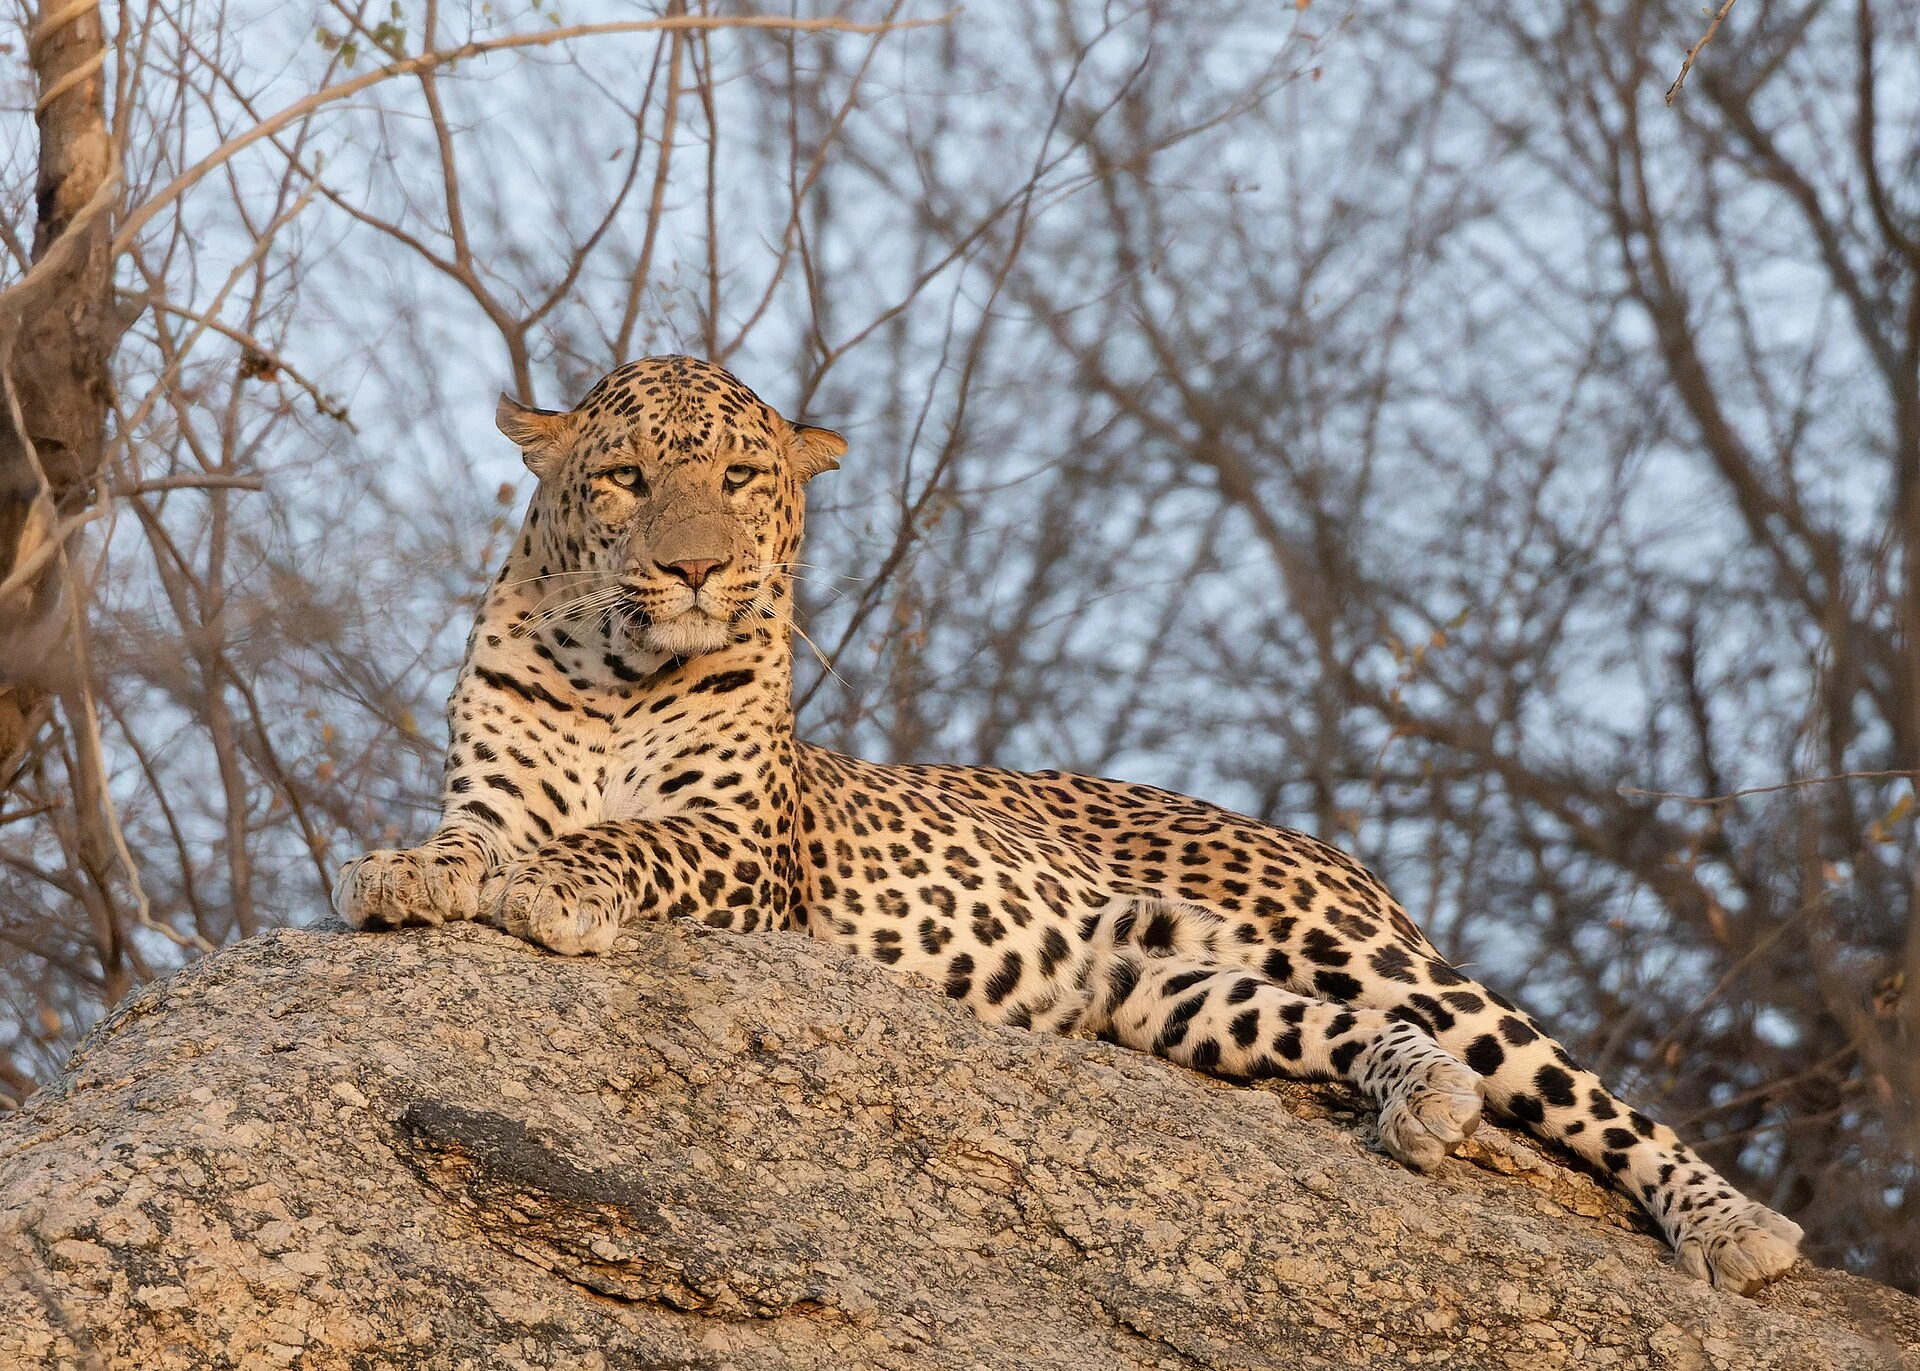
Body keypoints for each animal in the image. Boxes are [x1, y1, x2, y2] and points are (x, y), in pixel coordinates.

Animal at [335, 354, 1805, 1294]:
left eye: (745, 477)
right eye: (628, 480)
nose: (696, 568)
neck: (613, 671)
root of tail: (1316, 841)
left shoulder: (745, 845)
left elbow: (625, 839)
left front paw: (557, 885)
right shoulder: (492, 788)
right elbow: (470, 839)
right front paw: (407, 872)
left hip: (1360, 945)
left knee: (1584, 1091)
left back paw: (1733, 1227)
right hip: (1167, 992)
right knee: (1357, 1038)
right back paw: (1418, 1099)